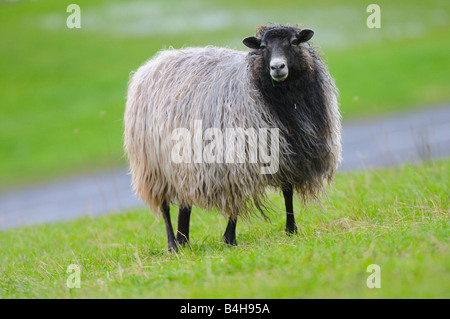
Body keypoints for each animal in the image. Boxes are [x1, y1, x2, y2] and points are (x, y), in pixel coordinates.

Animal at [123, 23, 342, 251]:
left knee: (184, 203)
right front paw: (229, 238)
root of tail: (154, 62)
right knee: (164, 206)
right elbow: (236, 198)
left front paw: (291, 229)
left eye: (294, 42)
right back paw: (173, 244)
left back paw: (184, 241)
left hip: (180, 165)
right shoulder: (236, 161)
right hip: (153, 165)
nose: (277, 67)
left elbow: (287, 190)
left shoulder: (288, 154)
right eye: (263, 46)